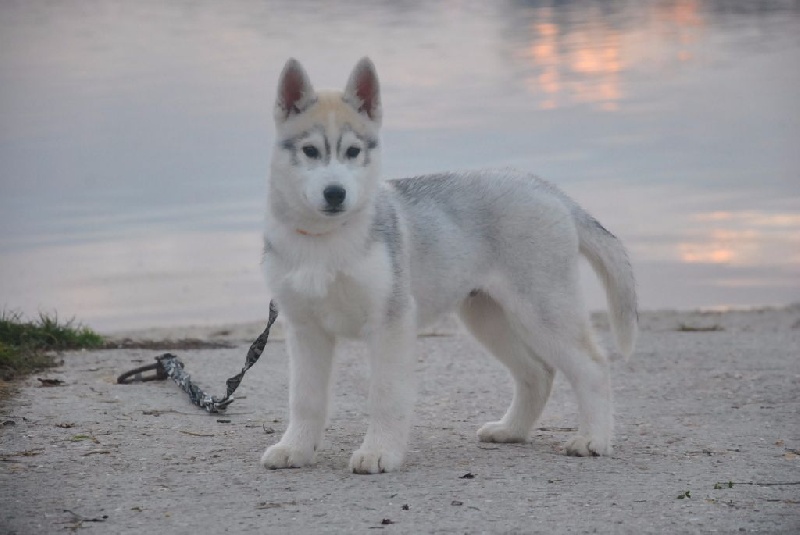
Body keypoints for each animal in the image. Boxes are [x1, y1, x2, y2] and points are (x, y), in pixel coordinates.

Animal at [262, 58, 636, 476]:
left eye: (353, 151)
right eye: (310, 151)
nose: (335, 194)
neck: (325, 241)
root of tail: (543, 186)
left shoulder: (390, 322)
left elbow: (385, 395)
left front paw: (380, 451)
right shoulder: (304, 329)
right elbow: (304, 399)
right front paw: (295, 448)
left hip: (544, 311)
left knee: (592, 366)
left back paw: (593, 439)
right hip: (487, 318)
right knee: (537, 373)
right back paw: (511, 430)